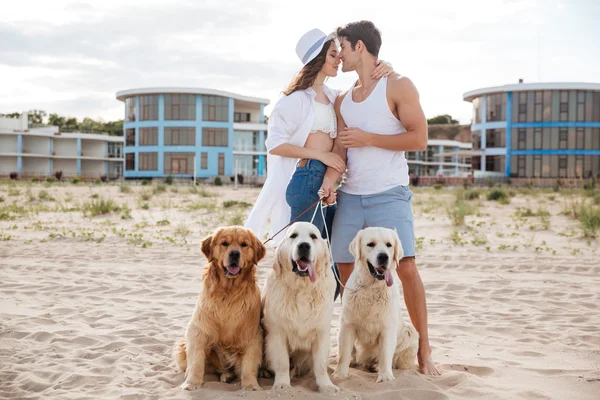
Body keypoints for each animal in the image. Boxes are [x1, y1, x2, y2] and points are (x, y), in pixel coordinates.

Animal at [173, 227, 268, 392]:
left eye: (244, 244)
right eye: (224, 243)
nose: (234, 253)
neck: (228, 292)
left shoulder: (253, 334)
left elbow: (249, 365)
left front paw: (251, 385)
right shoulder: (198, 330)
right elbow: (196, 362)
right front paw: (191, 383)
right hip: (182, 348)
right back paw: (226, 375)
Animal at [262, 222, 340, 394]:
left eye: (313, 237)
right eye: (293, 236)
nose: (304, 245)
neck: (302, 289)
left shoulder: (321, 332)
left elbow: (320, 364)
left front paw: (326, 385)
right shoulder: (277, 332)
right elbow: (282, 362)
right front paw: (282, 384)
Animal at [332, 227, 418, 382]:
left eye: (389, 245)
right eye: (371, 244)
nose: (383, 257)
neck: (371, 288)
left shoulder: (387, 328)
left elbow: (385, 355)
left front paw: (385, 377)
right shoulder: (347, 325)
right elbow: (344, 353)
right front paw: (340, 375)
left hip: (411, 332)